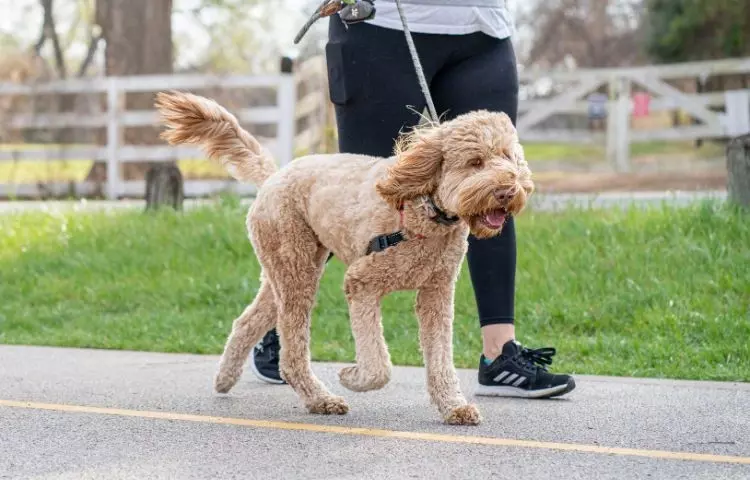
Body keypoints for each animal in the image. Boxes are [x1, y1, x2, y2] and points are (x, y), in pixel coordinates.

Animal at [156, 89, 536, 424]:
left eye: (508, 157)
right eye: (475, 162)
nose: (508, 191)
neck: (424, 209)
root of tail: (274, 176)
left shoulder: (436, 294)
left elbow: (440, 358)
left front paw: (453, 406)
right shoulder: (361, 282)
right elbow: (379, 366)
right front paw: (353, 377)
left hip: (288, 269)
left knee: (247, 322)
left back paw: (225, 378)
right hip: (296, 269)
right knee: (292, 353)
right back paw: (320, 399)